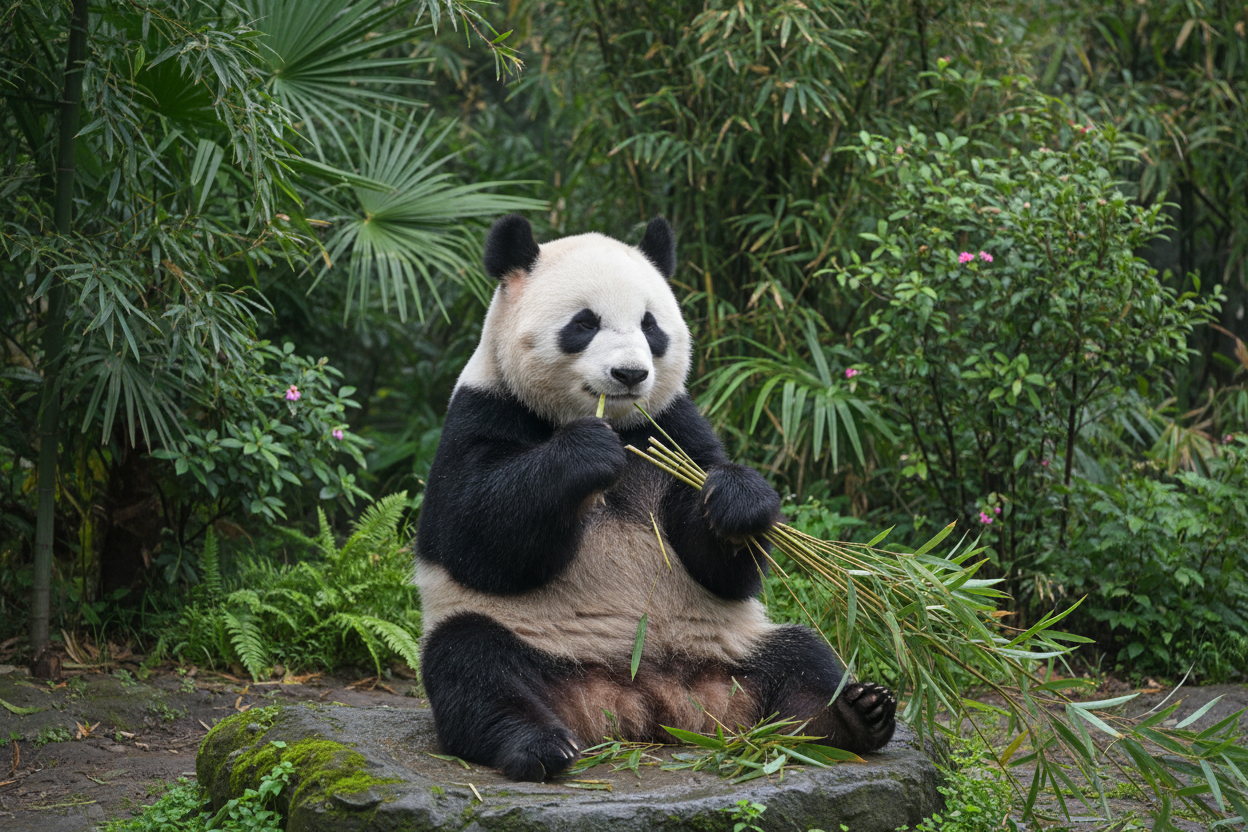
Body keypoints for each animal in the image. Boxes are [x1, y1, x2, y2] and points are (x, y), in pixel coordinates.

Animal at [416, 215, 896, 782]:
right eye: (584, 323)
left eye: (651, 326)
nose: (630, 374)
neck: (618, 425)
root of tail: (645, 702)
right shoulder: (482, 412)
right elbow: (476, 536)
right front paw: (586, 454)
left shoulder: (673, 425)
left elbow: (723, 568)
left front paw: (738, 501)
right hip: (532, 639)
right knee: (472, 664)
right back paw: (538, 745)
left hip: (735, 642)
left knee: (804, 656)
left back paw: (856, 715)